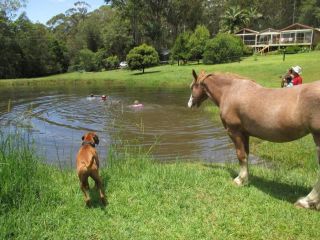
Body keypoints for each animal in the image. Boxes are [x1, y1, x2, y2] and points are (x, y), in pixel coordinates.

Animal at [188, 69, 320, 210]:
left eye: (192, 87)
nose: (190, 104)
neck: (230, 90)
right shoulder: (245, 134)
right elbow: (246, 155)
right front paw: (246, 179)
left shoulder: (234, 132)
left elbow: (240, 156)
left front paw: (239, 180)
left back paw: (306, 201)